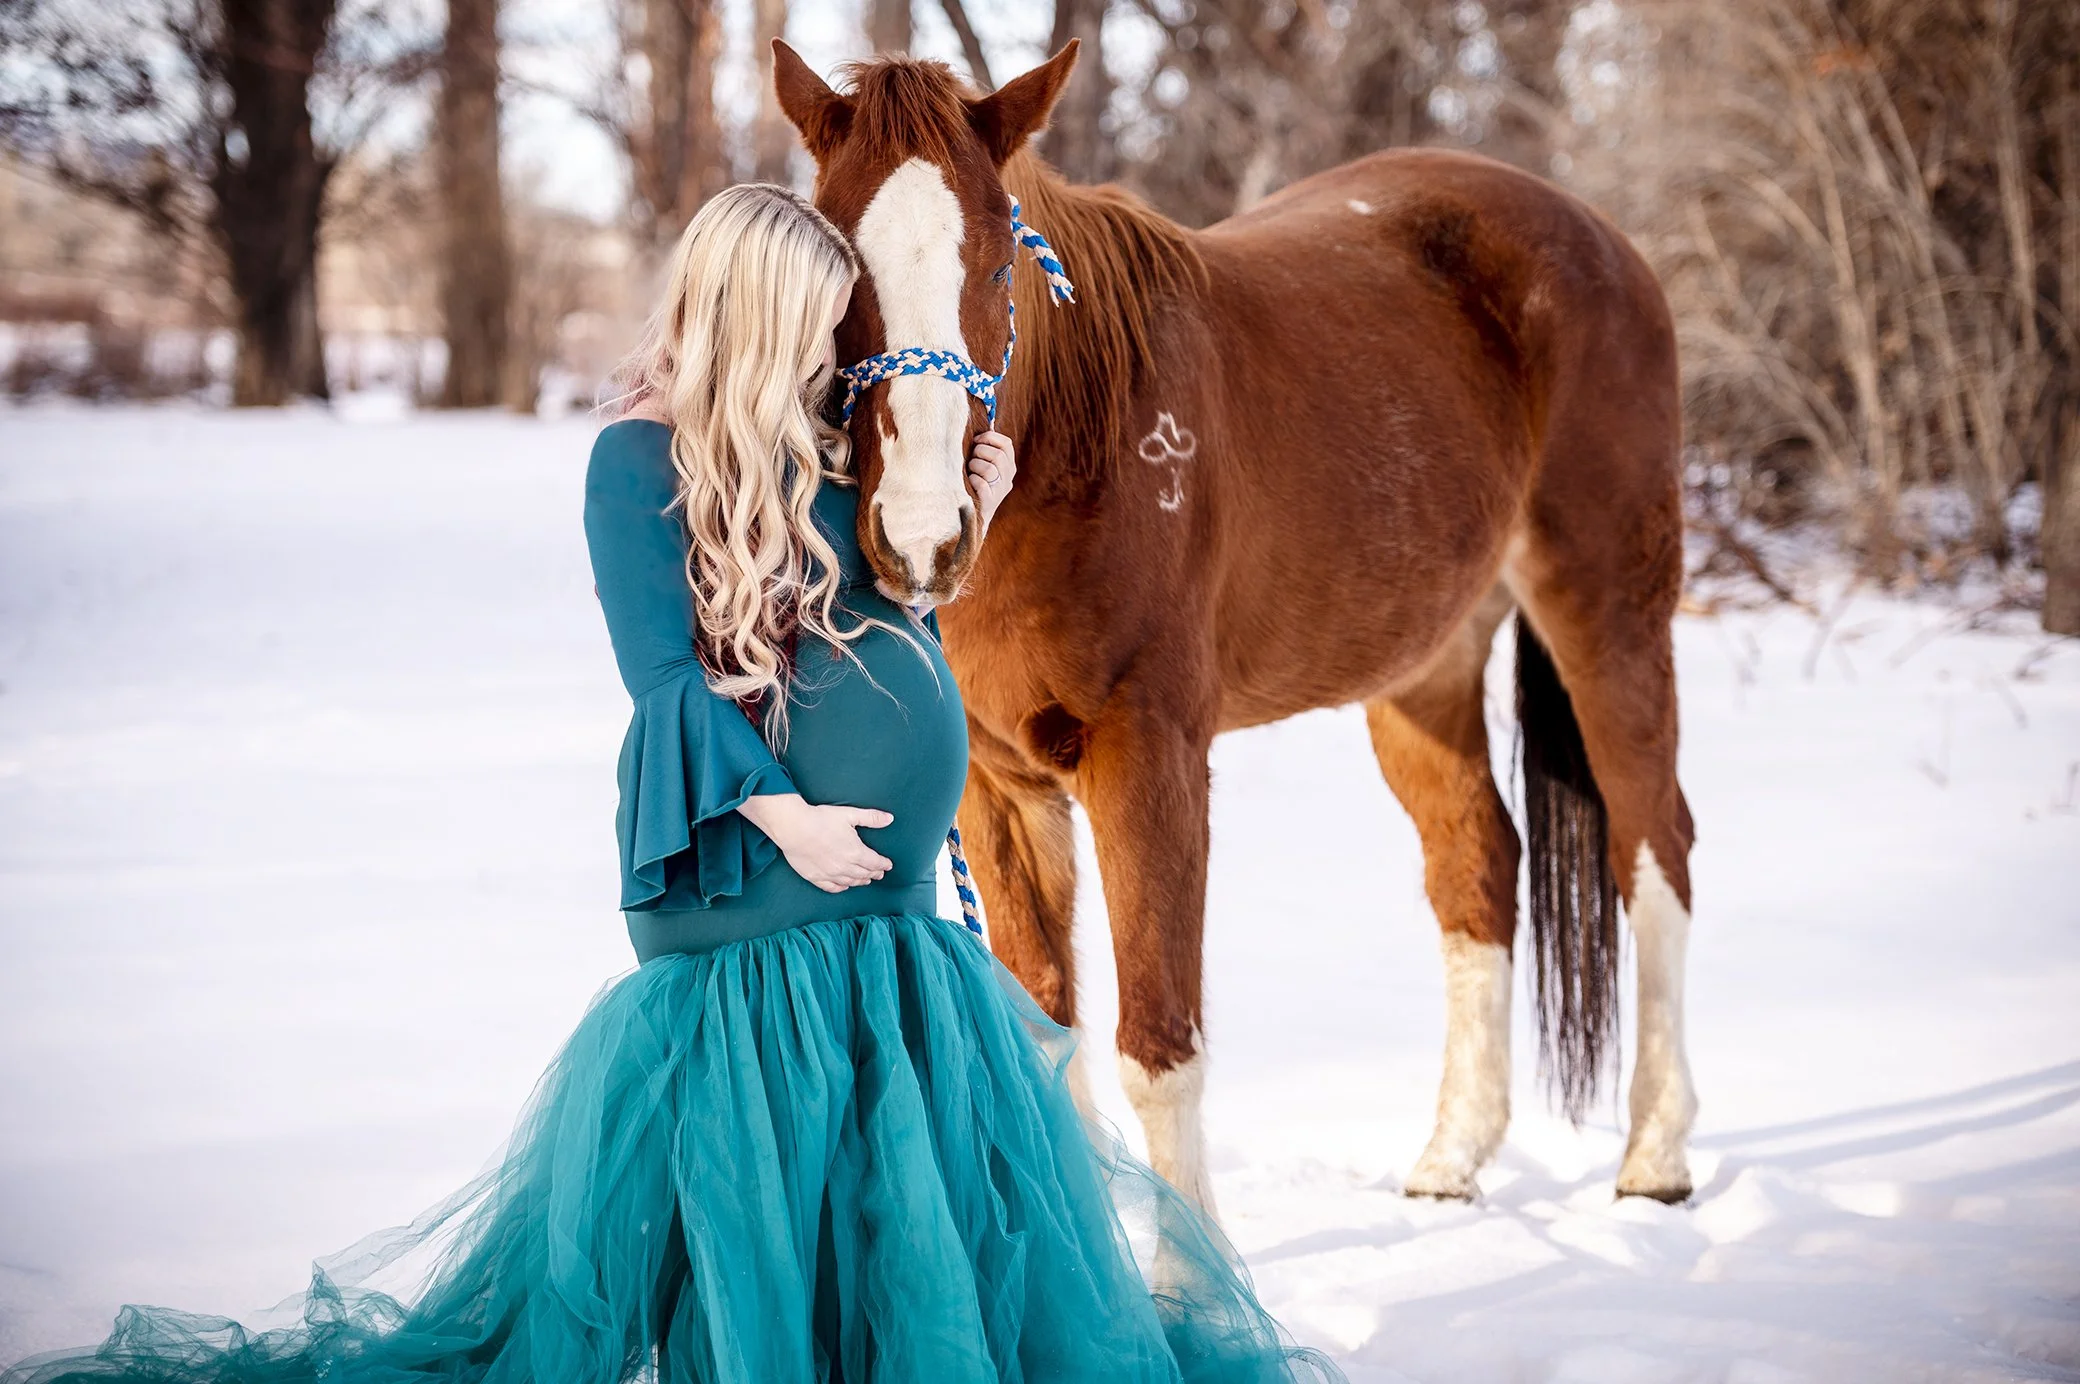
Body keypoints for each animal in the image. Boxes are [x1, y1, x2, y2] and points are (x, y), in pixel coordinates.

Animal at [773, 40, 1700, 1208]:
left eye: (993, 268)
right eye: (841, 276)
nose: (922, 532)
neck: (1089, 435)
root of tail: (1599, 237)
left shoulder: (1151, 759)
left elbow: (1159, 1049)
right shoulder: (997, 788)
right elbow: (1043, 1039)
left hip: (1608, 611)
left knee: (1651, 842)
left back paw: (1656, 1155)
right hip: (1423, 669)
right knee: (1478, 864)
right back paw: (1450, 1158)